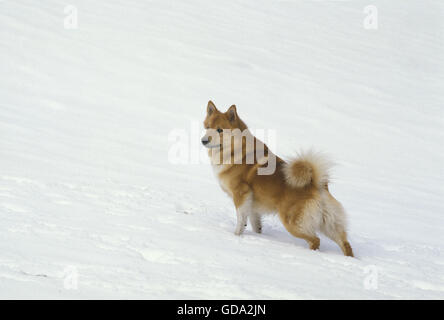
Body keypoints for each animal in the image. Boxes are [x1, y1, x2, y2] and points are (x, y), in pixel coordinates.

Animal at [202, 101, 354, 256]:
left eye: (219, 130)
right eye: (207, 127)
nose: (203, 141)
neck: (235, 150)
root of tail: (316, 185)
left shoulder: (241, 195)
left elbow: (240, 220)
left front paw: (236, 235)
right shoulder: (253, 204)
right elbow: (255, 223)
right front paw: (257, 235)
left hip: (292, 223)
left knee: (315, 240)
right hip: (329, 223)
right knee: (345, 243)